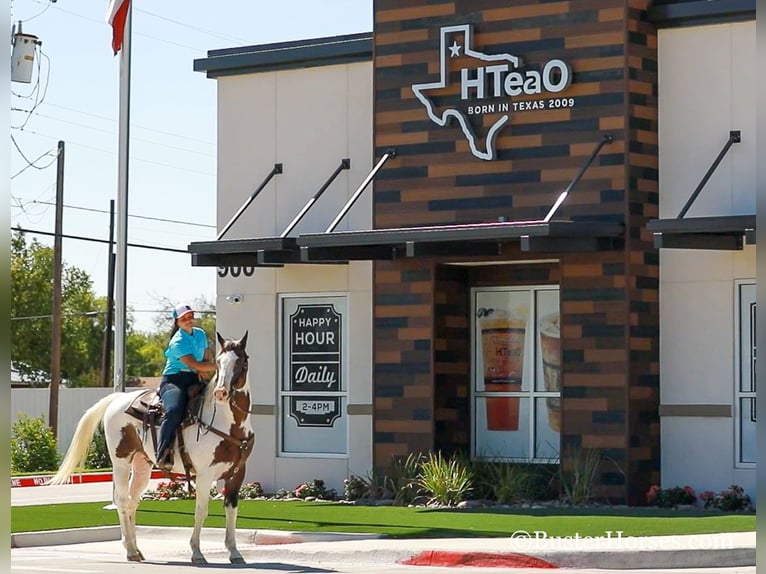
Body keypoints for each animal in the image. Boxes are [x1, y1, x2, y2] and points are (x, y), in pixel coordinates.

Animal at [47, 330, 255, 564]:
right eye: (219, 362)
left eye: (241, 362)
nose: (221, 393)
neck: (225, 422)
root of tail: (118, 398)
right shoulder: (204, 474)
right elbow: (201, 511)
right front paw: (196, 552)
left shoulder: (237, 473)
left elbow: (232, 510)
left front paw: (234, 552)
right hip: (121, 463)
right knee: (121, 500)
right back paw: (130, 550)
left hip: (142, 466)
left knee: (132, 501)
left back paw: (136, 549)